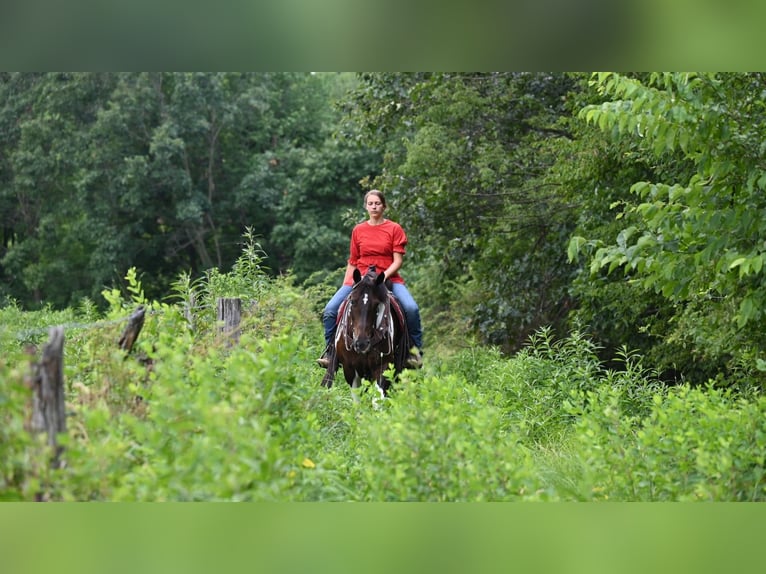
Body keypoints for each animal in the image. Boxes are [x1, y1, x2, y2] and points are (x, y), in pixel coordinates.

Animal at [322, 266, 416, 398]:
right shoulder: (349, 369)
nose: (361, 343)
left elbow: (378, 396)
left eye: (377, 305)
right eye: (352, 301)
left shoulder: (383, 366)